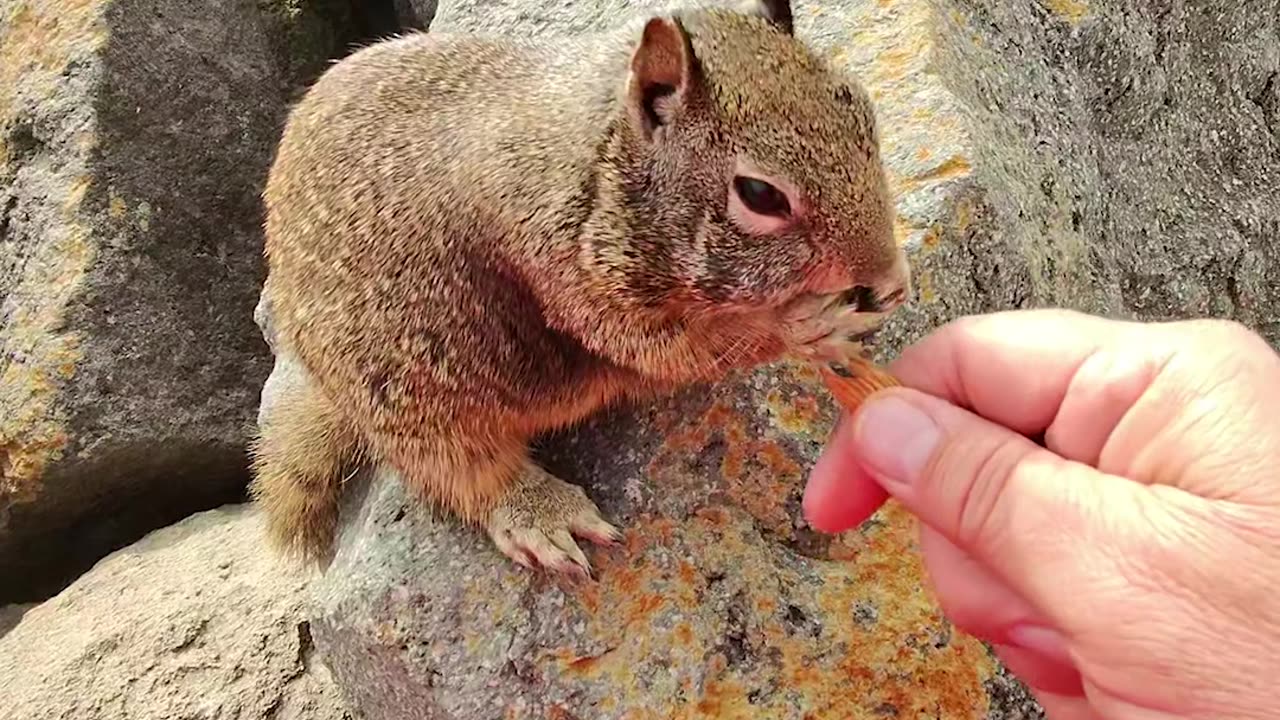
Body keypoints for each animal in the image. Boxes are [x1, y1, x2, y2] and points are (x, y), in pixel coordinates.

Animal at [249, 0, 911, 578]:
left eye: (865, 113)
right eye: (760, 195)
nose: (886, 278)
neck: (599, 153)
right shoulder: (573, 279)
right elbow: (684, 349)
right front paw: (799, 324)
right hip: (415, 406)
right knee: (464, 475)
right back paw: (539, 510)